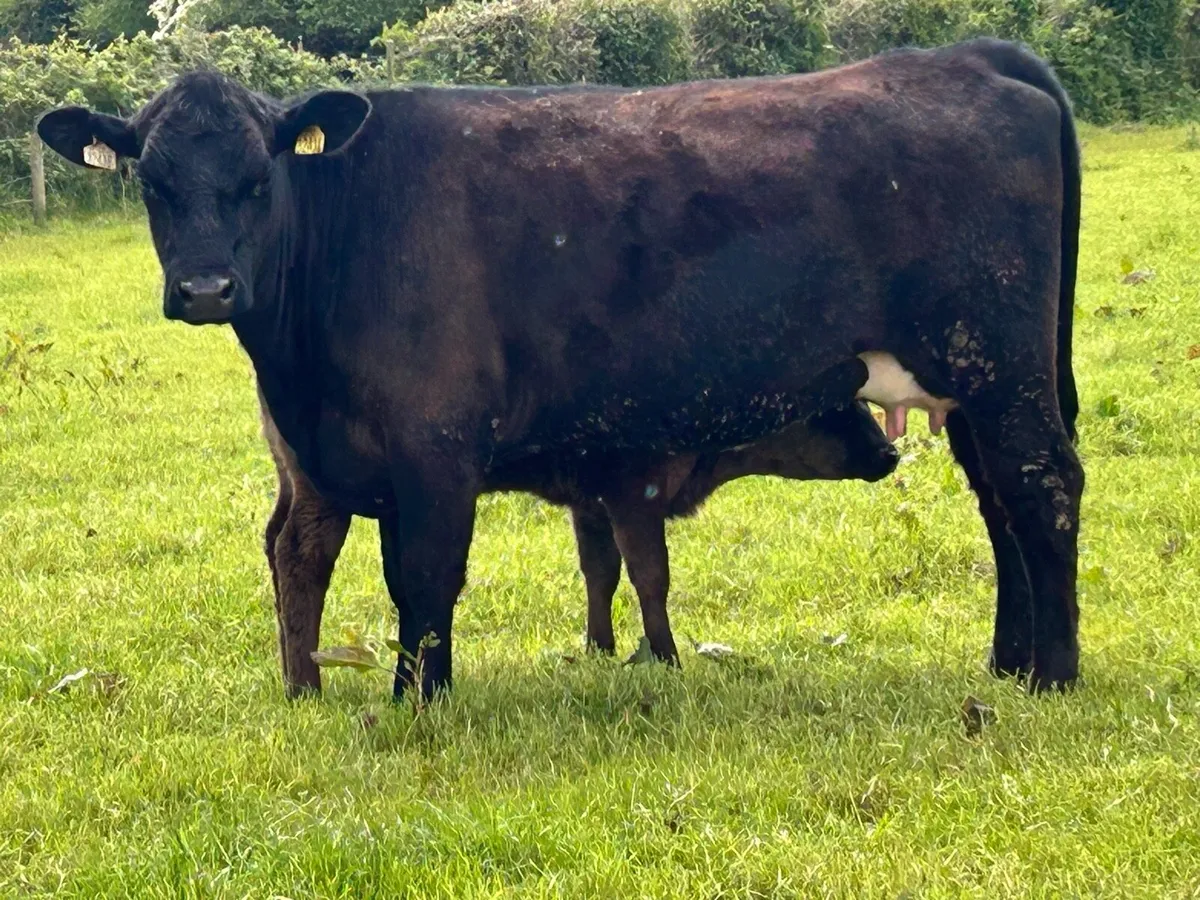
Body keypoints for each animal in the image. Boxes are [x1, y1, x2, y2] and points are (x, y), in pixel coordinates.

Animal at [261, 379, 899, 692]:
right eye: (837, 410)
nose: (890, 453)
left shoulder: (591, 504)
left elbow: (601, 571)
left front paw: (600, 647)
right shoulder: (634, 494)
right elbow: (650, 577)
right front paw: (666, 658)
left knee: (272, 543)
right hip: (323, 491)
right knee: (301, 557)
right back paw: (305, 686)